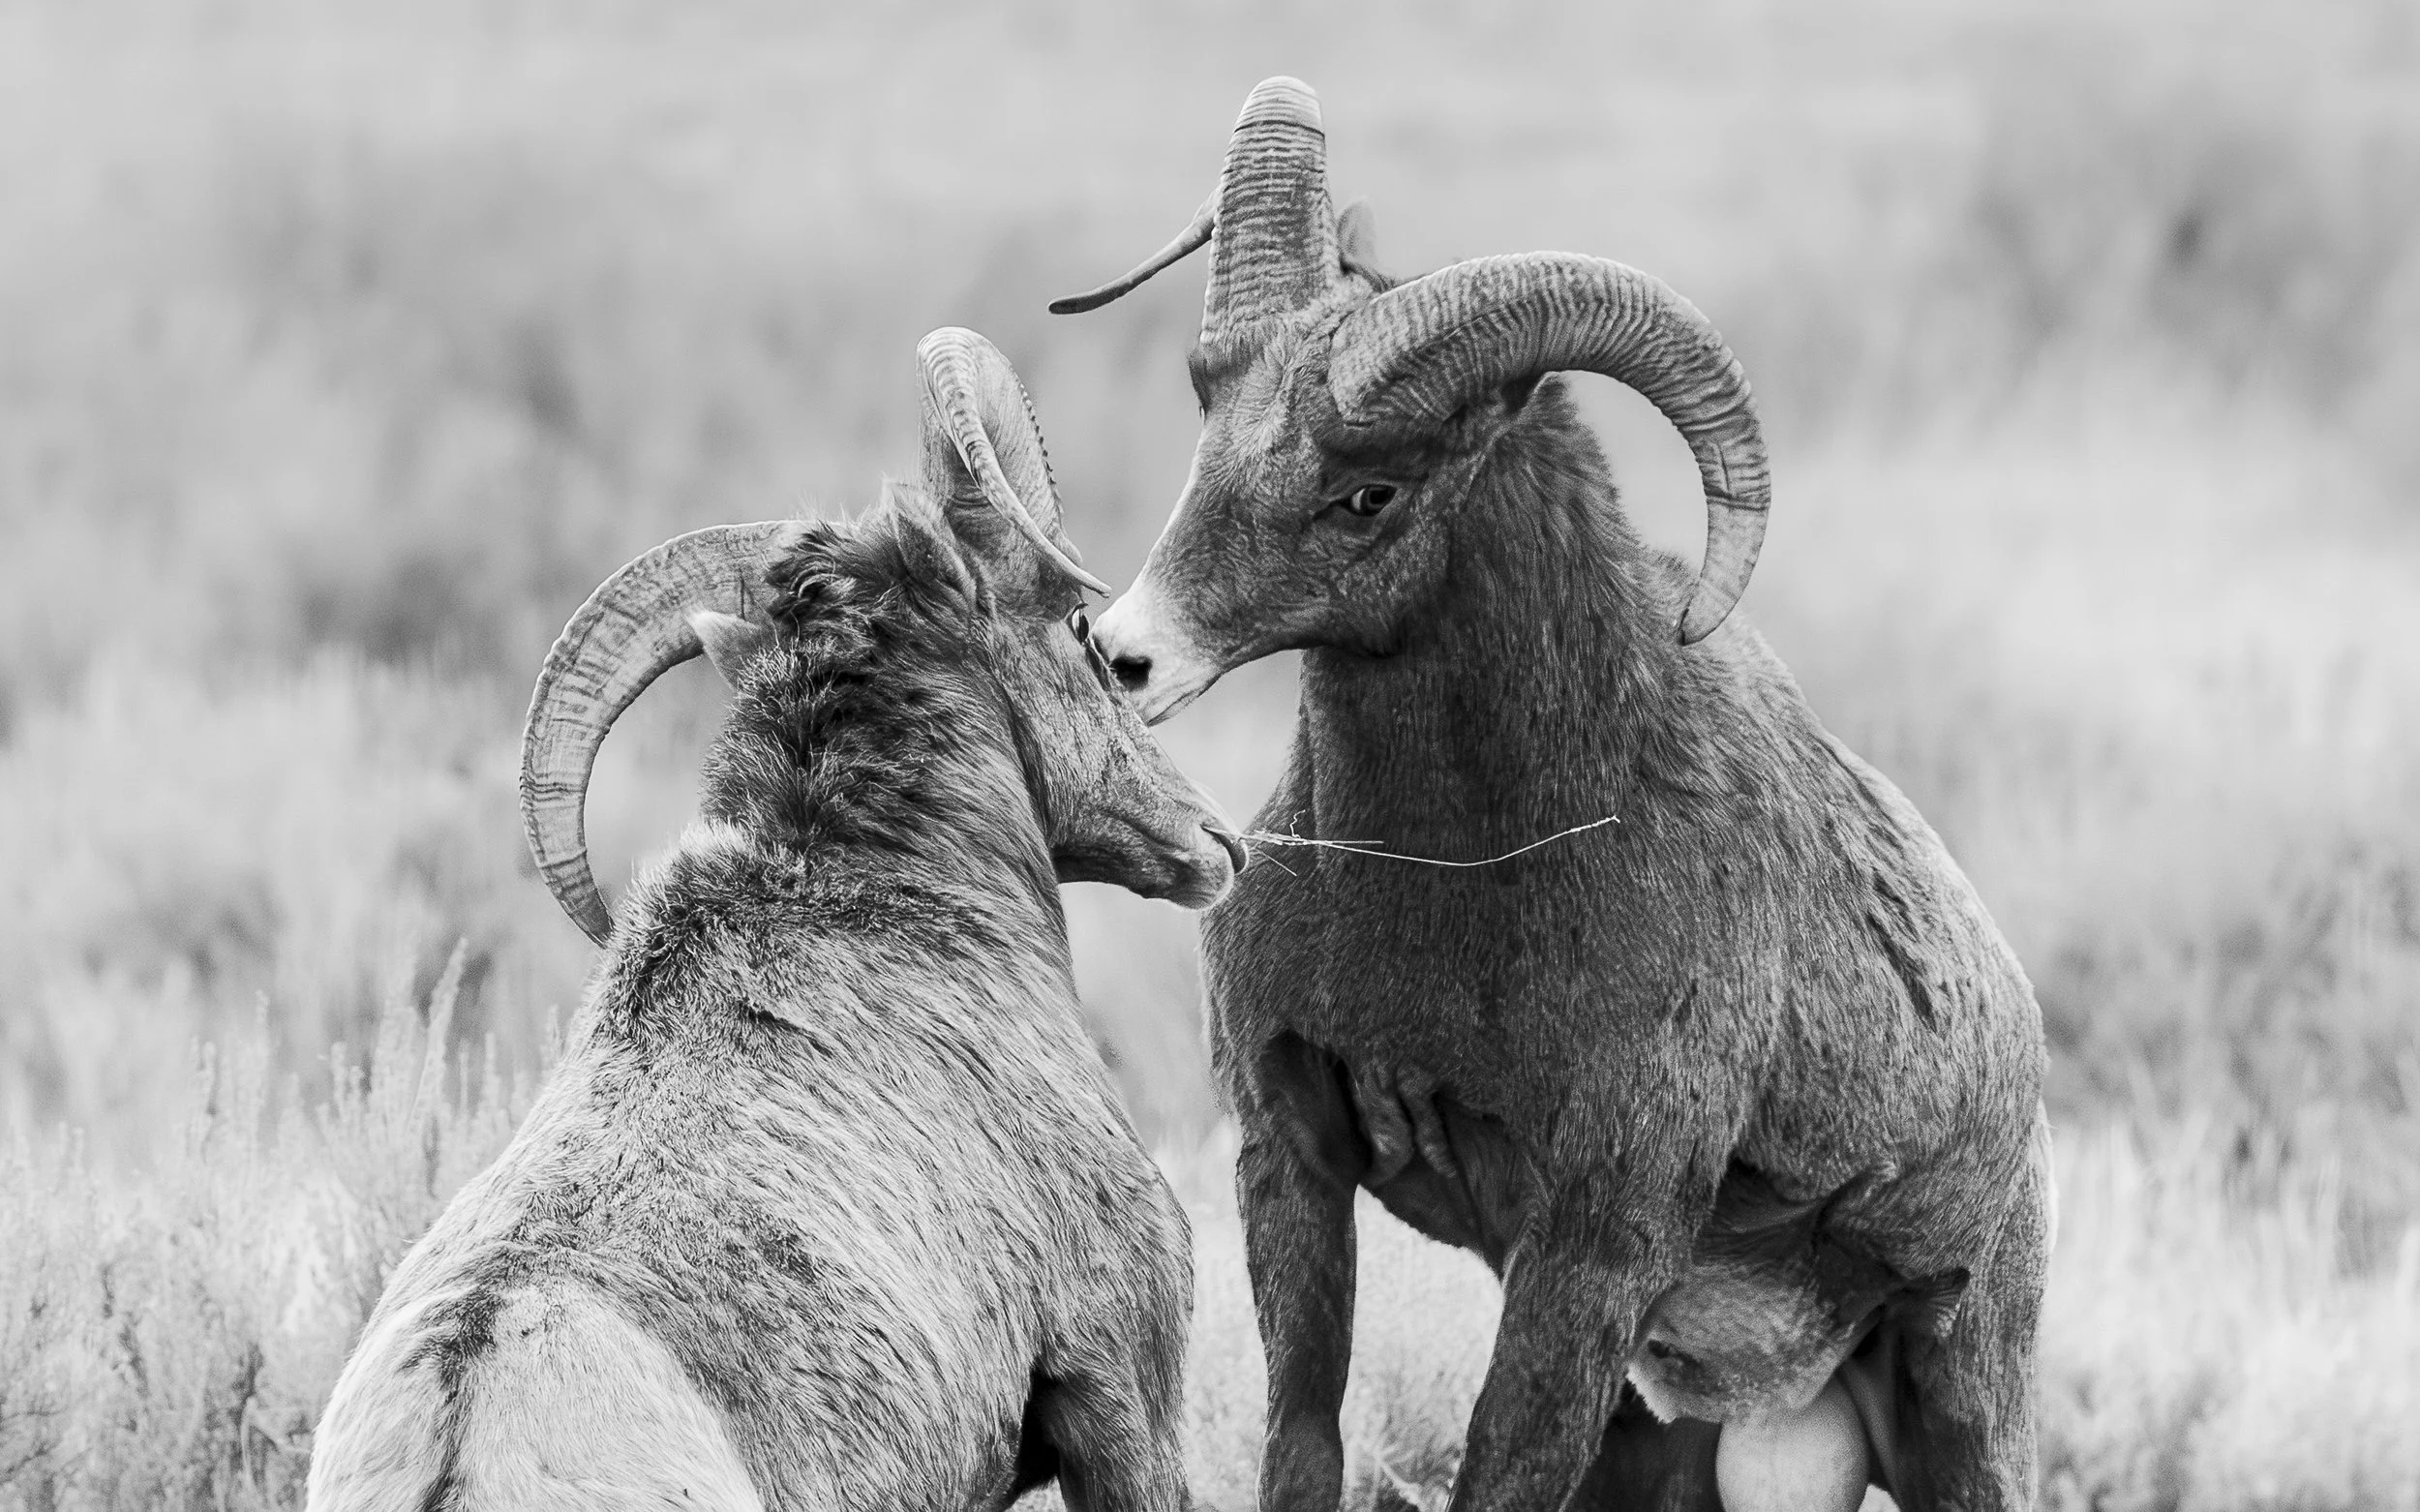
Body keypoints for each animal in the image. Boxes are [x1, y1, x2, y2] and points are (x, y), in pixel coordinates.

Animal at [1051, 77, 2054, 1512]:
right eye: (1211, 425)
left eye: (1370, 493)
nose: (1122, 656)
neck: (1459, 883)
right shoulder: (1291, 1160)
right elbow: (1304, 1441)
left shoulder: (1595, 1242)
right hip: (1665, 1436)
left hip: (1963, 1389)